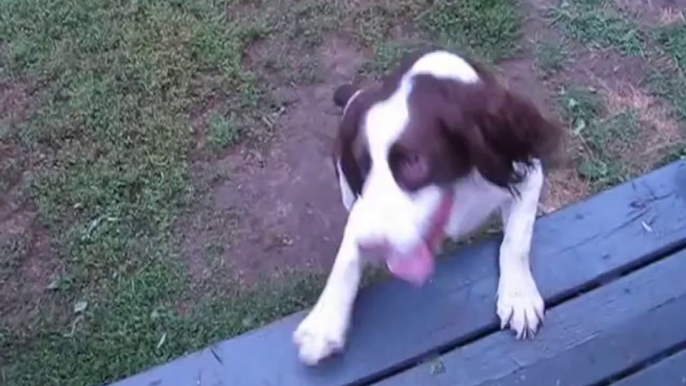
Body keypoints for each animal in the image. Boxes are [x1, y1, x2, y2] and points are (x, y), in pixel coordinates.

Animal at [292, 47, 568, 364]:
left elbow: (516, 241)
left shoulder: (522, 169)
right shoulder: (362, 206)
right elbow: (348, 252)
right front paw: (324, 322)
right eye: (362, 164)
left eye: (414, 162)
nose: (372, 247)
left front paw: (518, 296)